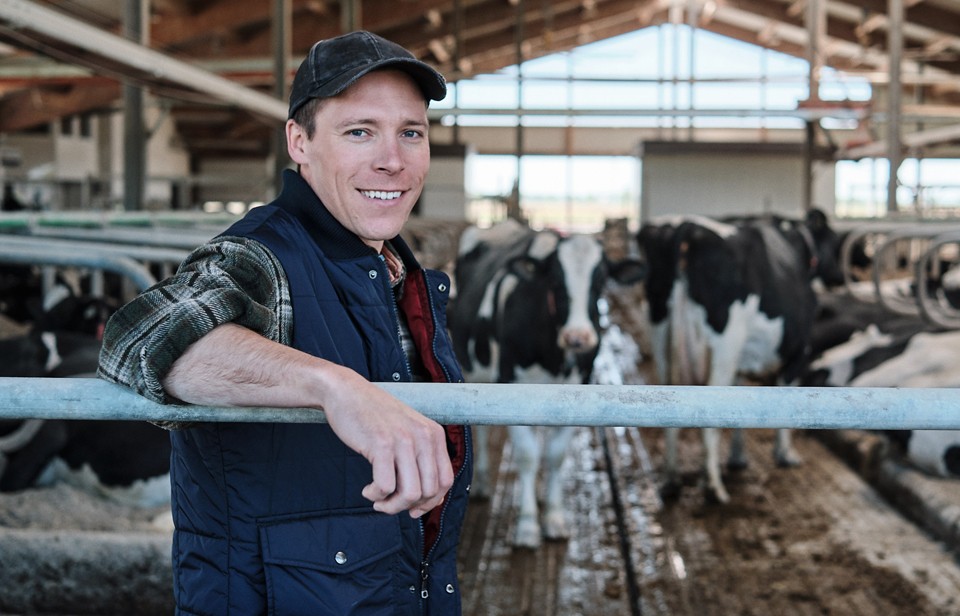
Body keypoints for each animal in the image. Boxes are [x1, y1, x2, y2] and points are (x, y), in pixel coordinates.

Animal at [450, 219, 644, 548]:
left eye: (601, 279)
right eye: (554, 279)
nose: (578, 337)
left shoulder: (578, 388)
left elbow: (555, 456)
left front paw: (554, 516)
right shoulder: (510, 385)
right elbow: (528, 456)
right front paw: (528, 525)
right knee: (479, 429)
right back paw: (483, 484)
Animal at [636, 209, 840, 502]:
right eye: (835, 242)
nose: (839, 276)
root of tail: (689, 228)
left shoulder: (741, 362)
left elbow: (740, 402)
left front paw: (737, 458)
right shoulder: (799, 351)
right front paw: (785, 454)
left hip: (662, 335)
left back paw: (672, 480)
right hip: (725, 343)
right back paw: (713, 487)